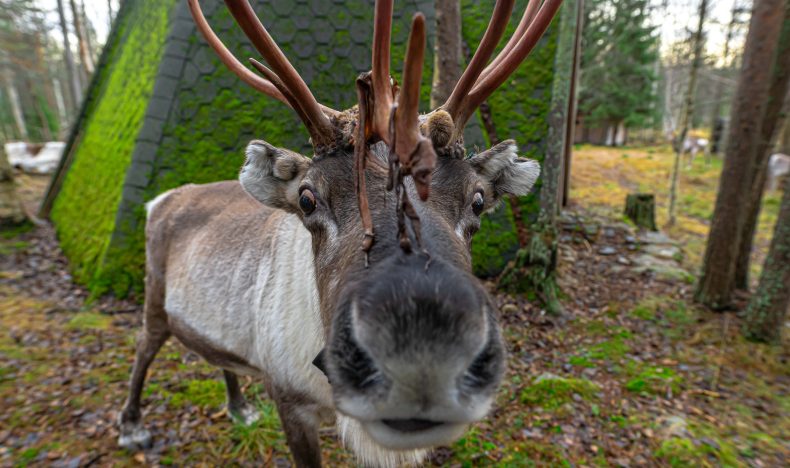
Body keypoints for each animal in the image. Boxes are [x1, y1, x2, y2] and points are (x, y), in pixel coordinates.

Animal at [117, 0, 563, 466]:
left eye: (477, 201)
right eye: (307, 200)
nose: (421, 366)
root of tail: (161, 199)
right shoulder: (289, 399)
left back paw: (238, 407)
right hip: (154, 297)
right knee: (143, 347)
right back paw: (132, 426)